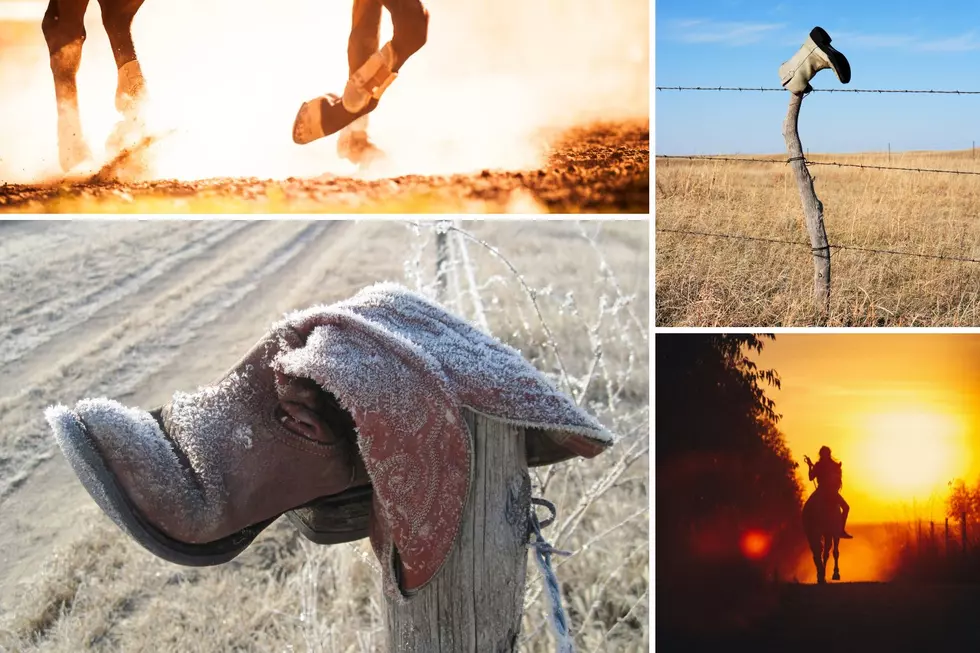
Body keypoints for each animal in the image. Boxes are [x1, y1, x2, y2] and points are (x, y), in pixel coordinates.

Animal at [42, 0, 426, 171]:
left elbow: (368, 35)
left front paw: (347, 132)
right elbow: (411, 23)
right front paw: (325, 116)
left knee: (100, 18)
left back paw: (129, 124)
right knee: (70, 25)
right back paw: (82, 153)